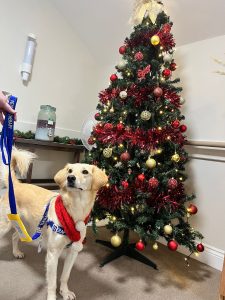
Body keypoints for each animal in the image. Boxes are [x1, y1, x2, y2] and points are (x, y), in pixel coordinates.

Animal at [0, 148, 108, 300]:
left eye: (85, 172)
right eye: (69, 170)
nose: (70, 178)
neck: (74, 210)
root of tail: (17, 184)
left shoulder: (73, 252)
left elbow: (65, 276)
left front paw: (65, 292)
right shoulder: (53, 254)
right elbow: (52, 282)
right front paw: (52, 296)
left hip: (30, 227)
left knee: (15, 236)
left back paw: (16, 253)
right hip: (5, 225)